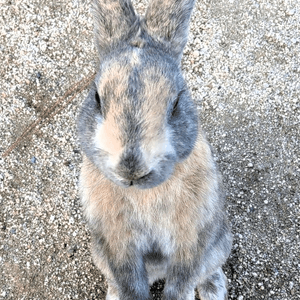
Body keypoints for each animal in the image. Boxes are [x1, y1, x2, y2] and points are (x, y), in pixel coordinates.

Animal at [77, 0, 232, 300]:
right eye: (97, 98)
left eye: (177, 102)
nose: (131, 169)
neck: (143, 192)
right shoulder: (117, 244)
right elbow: (129, 282)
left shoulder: (191, 237)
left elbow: (182, 280)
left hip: (220, 242)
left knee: (208, 270)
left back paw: (213, 289)